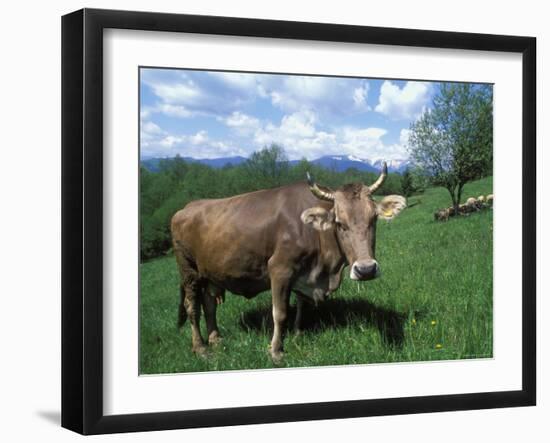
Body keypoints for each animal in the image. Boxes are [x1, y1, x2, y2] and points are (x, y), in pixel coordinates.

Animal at [170, 165, 408, 362]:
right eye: (340, 223)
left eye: (374, 219)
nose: (366, 269)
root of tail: (186, 208)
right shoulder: (279, 269)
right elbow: (280, 312)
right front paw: (276, 350)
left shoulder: (305, 274)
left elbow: (301, 304)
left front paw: (298, 333)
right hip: (188, 270)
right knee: (193, 307)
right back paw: (201, 348)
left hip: (210, 273)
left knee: (209, 304)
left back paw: (216, 339)